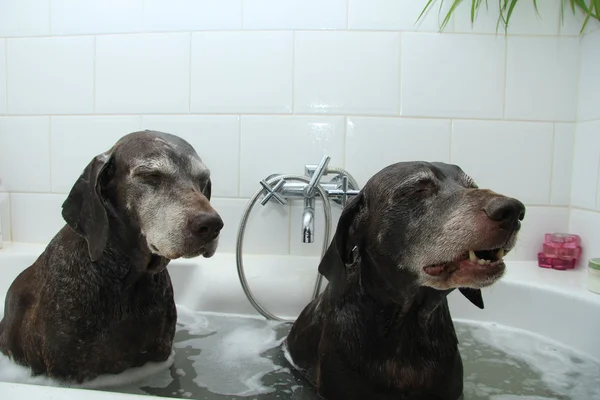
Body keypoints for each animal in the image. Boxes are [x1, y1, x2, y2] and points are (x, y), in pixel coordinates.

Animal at [0, 130, 224, 382]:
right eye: (150, 175)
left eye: (202, 180)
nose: (211, 225)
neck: (125, 280)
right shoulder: (66, 371)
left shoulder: (159, 354)